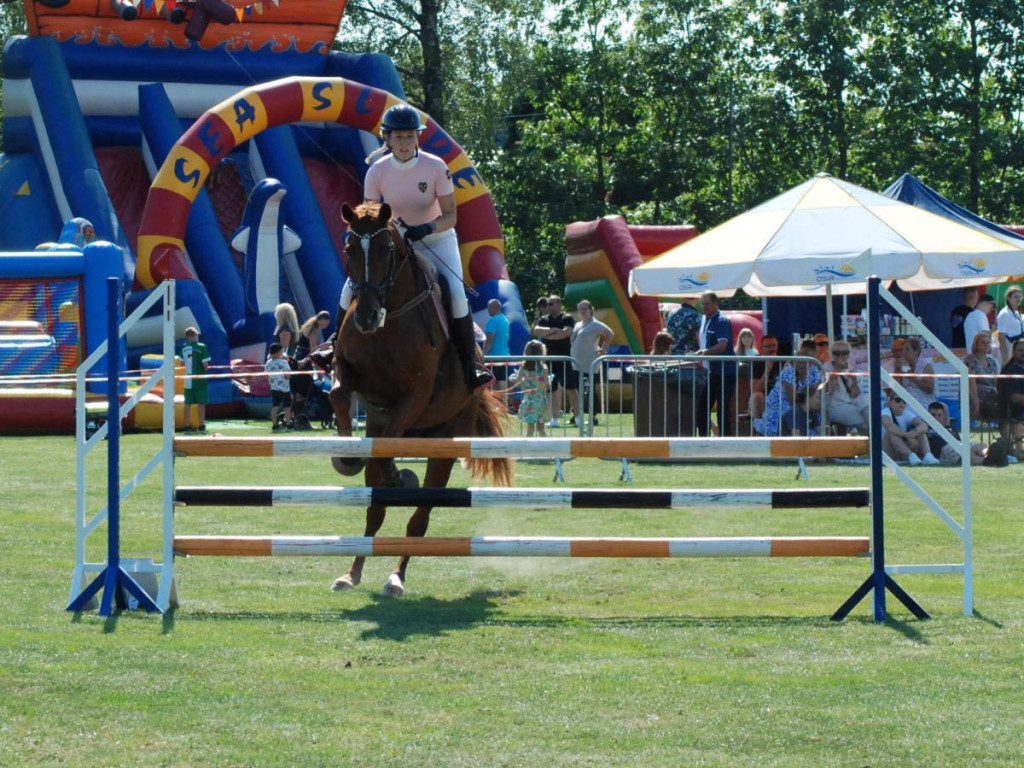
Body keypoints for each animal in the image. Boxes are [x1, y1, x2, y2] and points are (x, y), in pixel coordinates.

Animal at [327, 201, 512, 598]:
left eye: (386, 250)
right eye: (349, 249)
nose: (366, 316)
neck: (390, 317)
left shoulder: (415, 396)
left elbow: (387, 451)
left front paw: (398, 476)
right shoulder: (346, 370)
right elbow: (337, 394)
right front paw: (346, 455)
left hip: (445, 440)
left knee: (419, 518)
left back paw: (395, 577)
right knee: (375, 511)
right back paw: (351, 573)